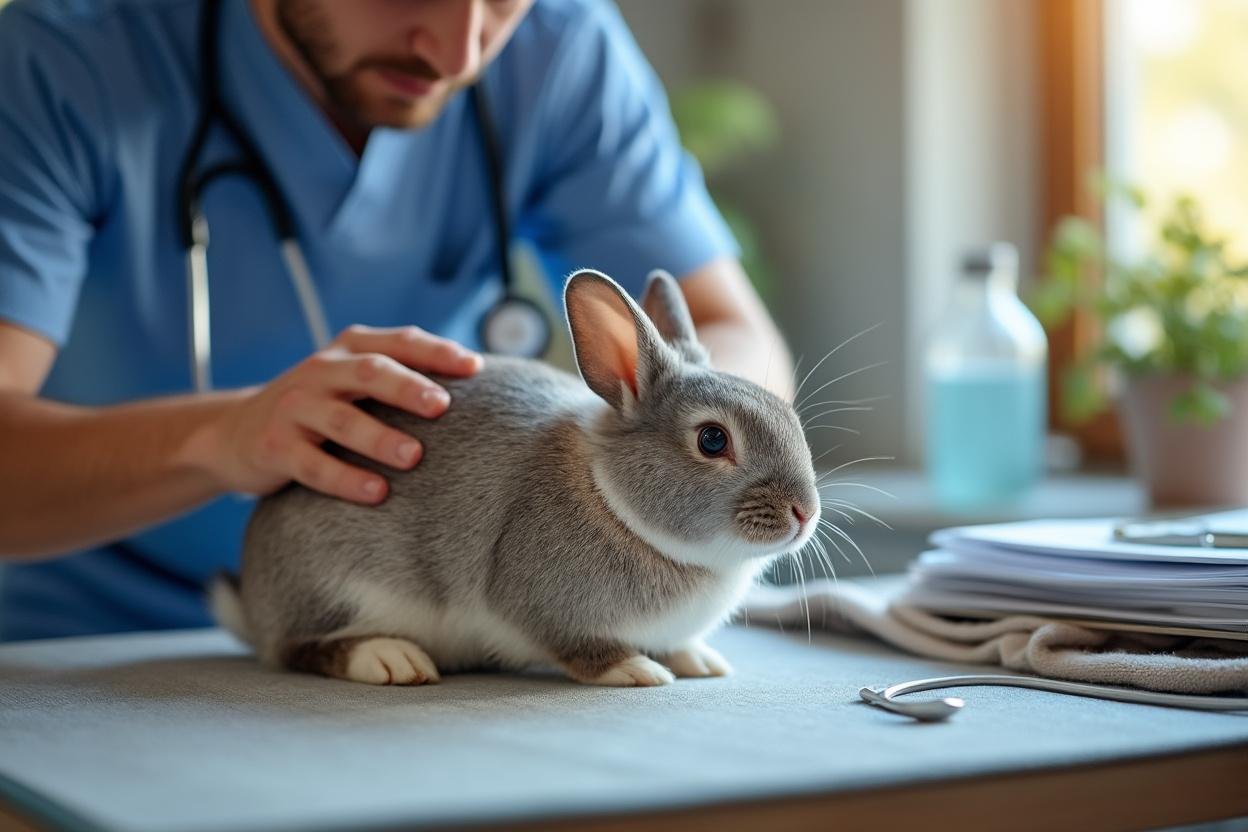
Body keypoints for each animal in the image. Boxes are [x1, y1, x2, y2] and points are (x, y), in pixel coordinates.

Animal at [210, 269, 821, 687]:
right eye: (712, 440)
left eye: (787, 416)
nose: (805, 512)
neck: (613, 501)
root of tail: (255, 603)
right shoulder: (537, 606)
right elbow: (576, 646)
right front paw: (635, 670)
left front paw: (698, 660)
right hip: (336, 586)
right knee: (298, 649)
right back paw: (389, 658)